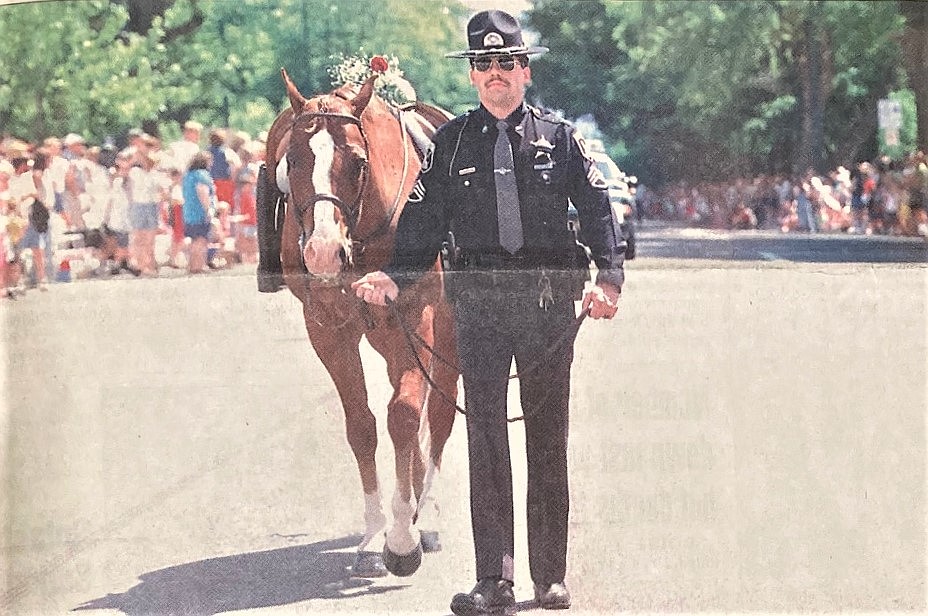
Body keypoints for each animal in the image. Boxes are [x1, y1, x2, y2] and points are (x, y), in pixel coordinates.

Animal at [258, 67, 460, 576]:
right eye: (293, 159)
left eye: (357, 162)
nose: (323, 252)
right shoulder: (329, 330)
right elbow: (362, 425)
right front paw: (374, 533)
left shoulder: (418, 320)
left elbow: (405, 416)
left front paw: (404, 537)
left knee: (440, 412)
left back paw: (427, 513)